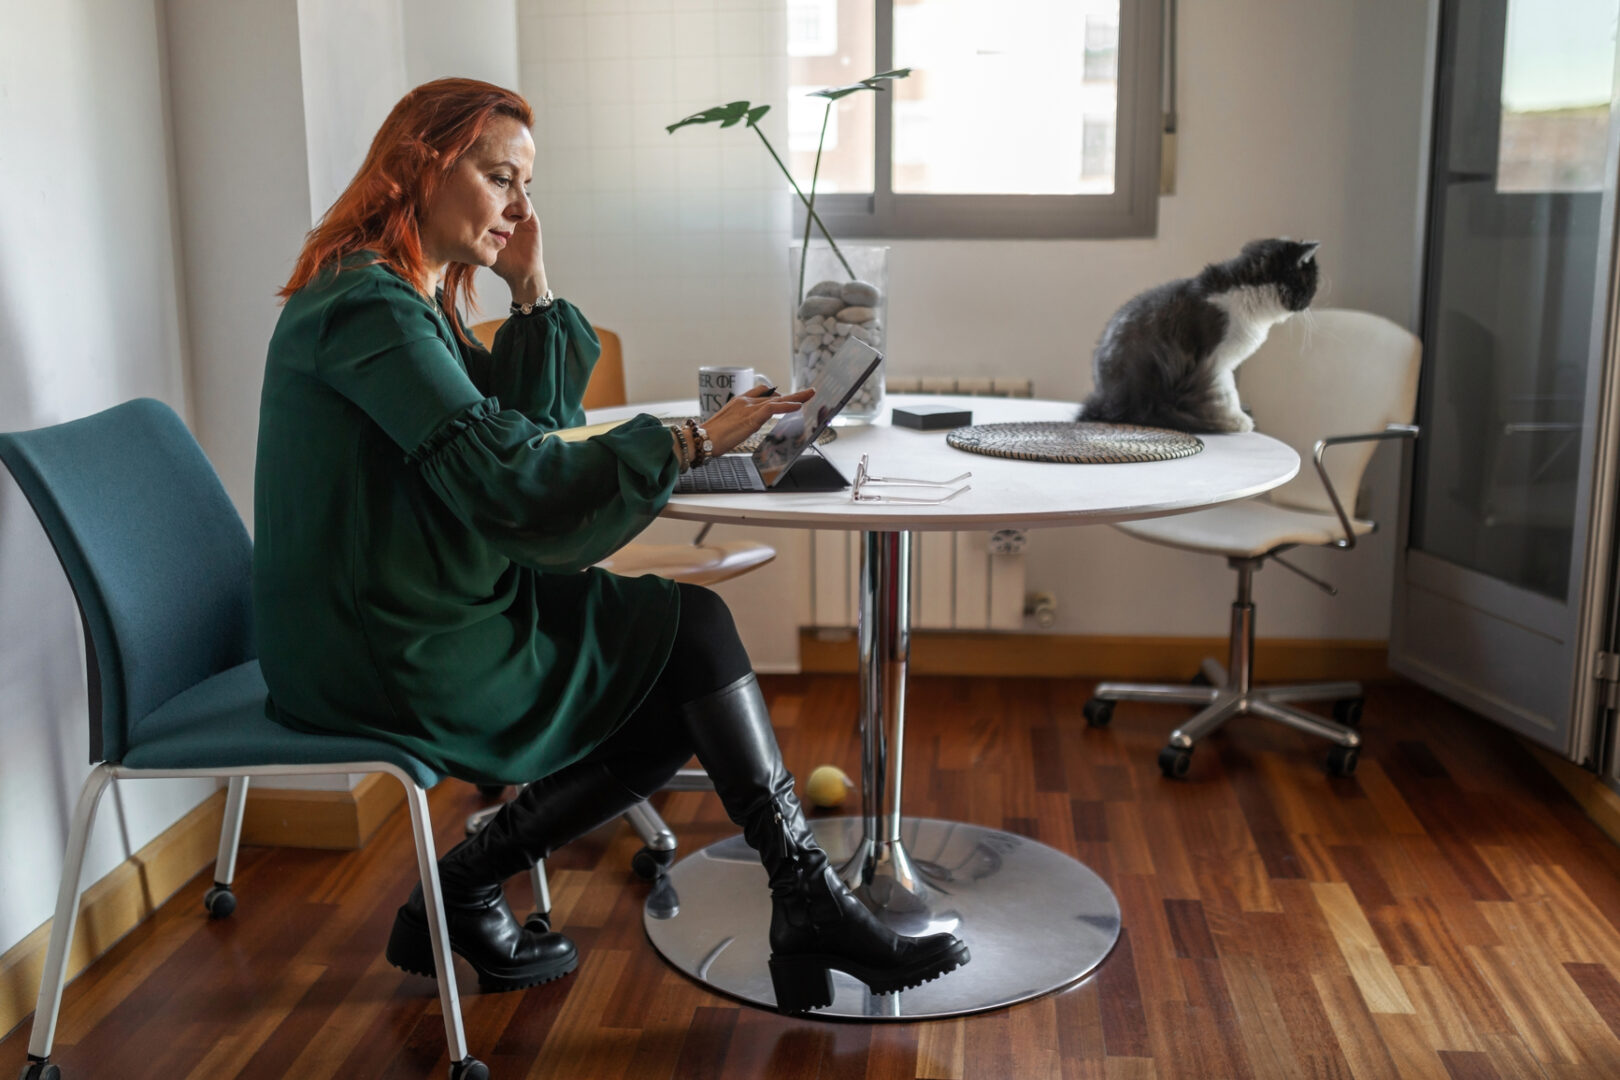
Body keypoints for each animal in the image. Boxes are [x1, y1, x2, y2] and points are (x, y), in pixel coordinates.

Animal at [1075, 241, 1315, 433]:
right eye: (1310, 287)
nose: (1310, 304)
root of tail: (1105, 400)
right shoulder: (1217, 362)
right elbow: (1229, 395)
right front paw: (1239, 421)